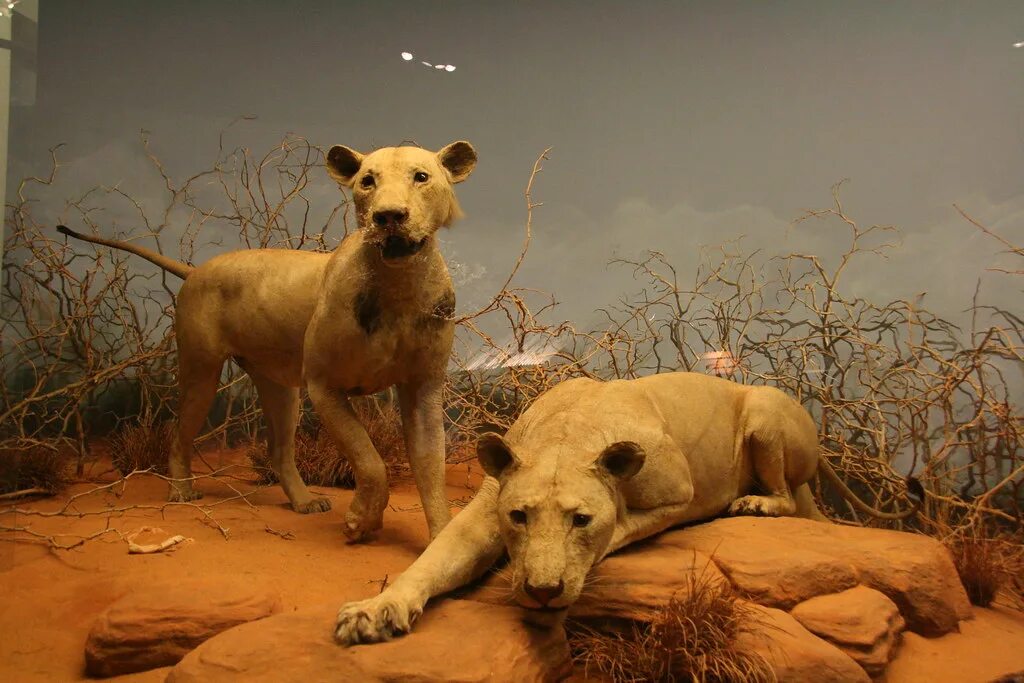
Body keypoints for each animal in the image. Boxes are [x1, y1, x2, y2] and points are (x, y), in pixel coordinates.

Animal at [58, 141, 479, 540]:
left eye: (421, 177)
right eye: (367, 181)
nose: (388, 216)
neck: (400, 285)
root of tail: (195, 270)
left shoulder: (423, 389)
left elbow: (430, 468)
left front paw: (440, 538)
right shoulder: (324, 385)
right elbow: (370, 460)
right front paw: (361, 521)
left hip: (279, 387)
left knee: (278, 451)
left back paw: (305, 502)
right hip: (201, 369)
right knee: (179, 434)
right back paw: (181, 491)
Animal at [335, 370, 921, 643]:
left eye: (581, 520)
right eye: (519, 516)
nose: (542, 590)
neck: (566, 438)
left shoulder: (679, 493)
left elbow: (621, 527)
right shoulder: (484, 509)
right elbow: (433, 561)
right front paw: (374, 611)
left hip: (764, 410)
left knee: (787, 498)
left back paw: (753, 502)